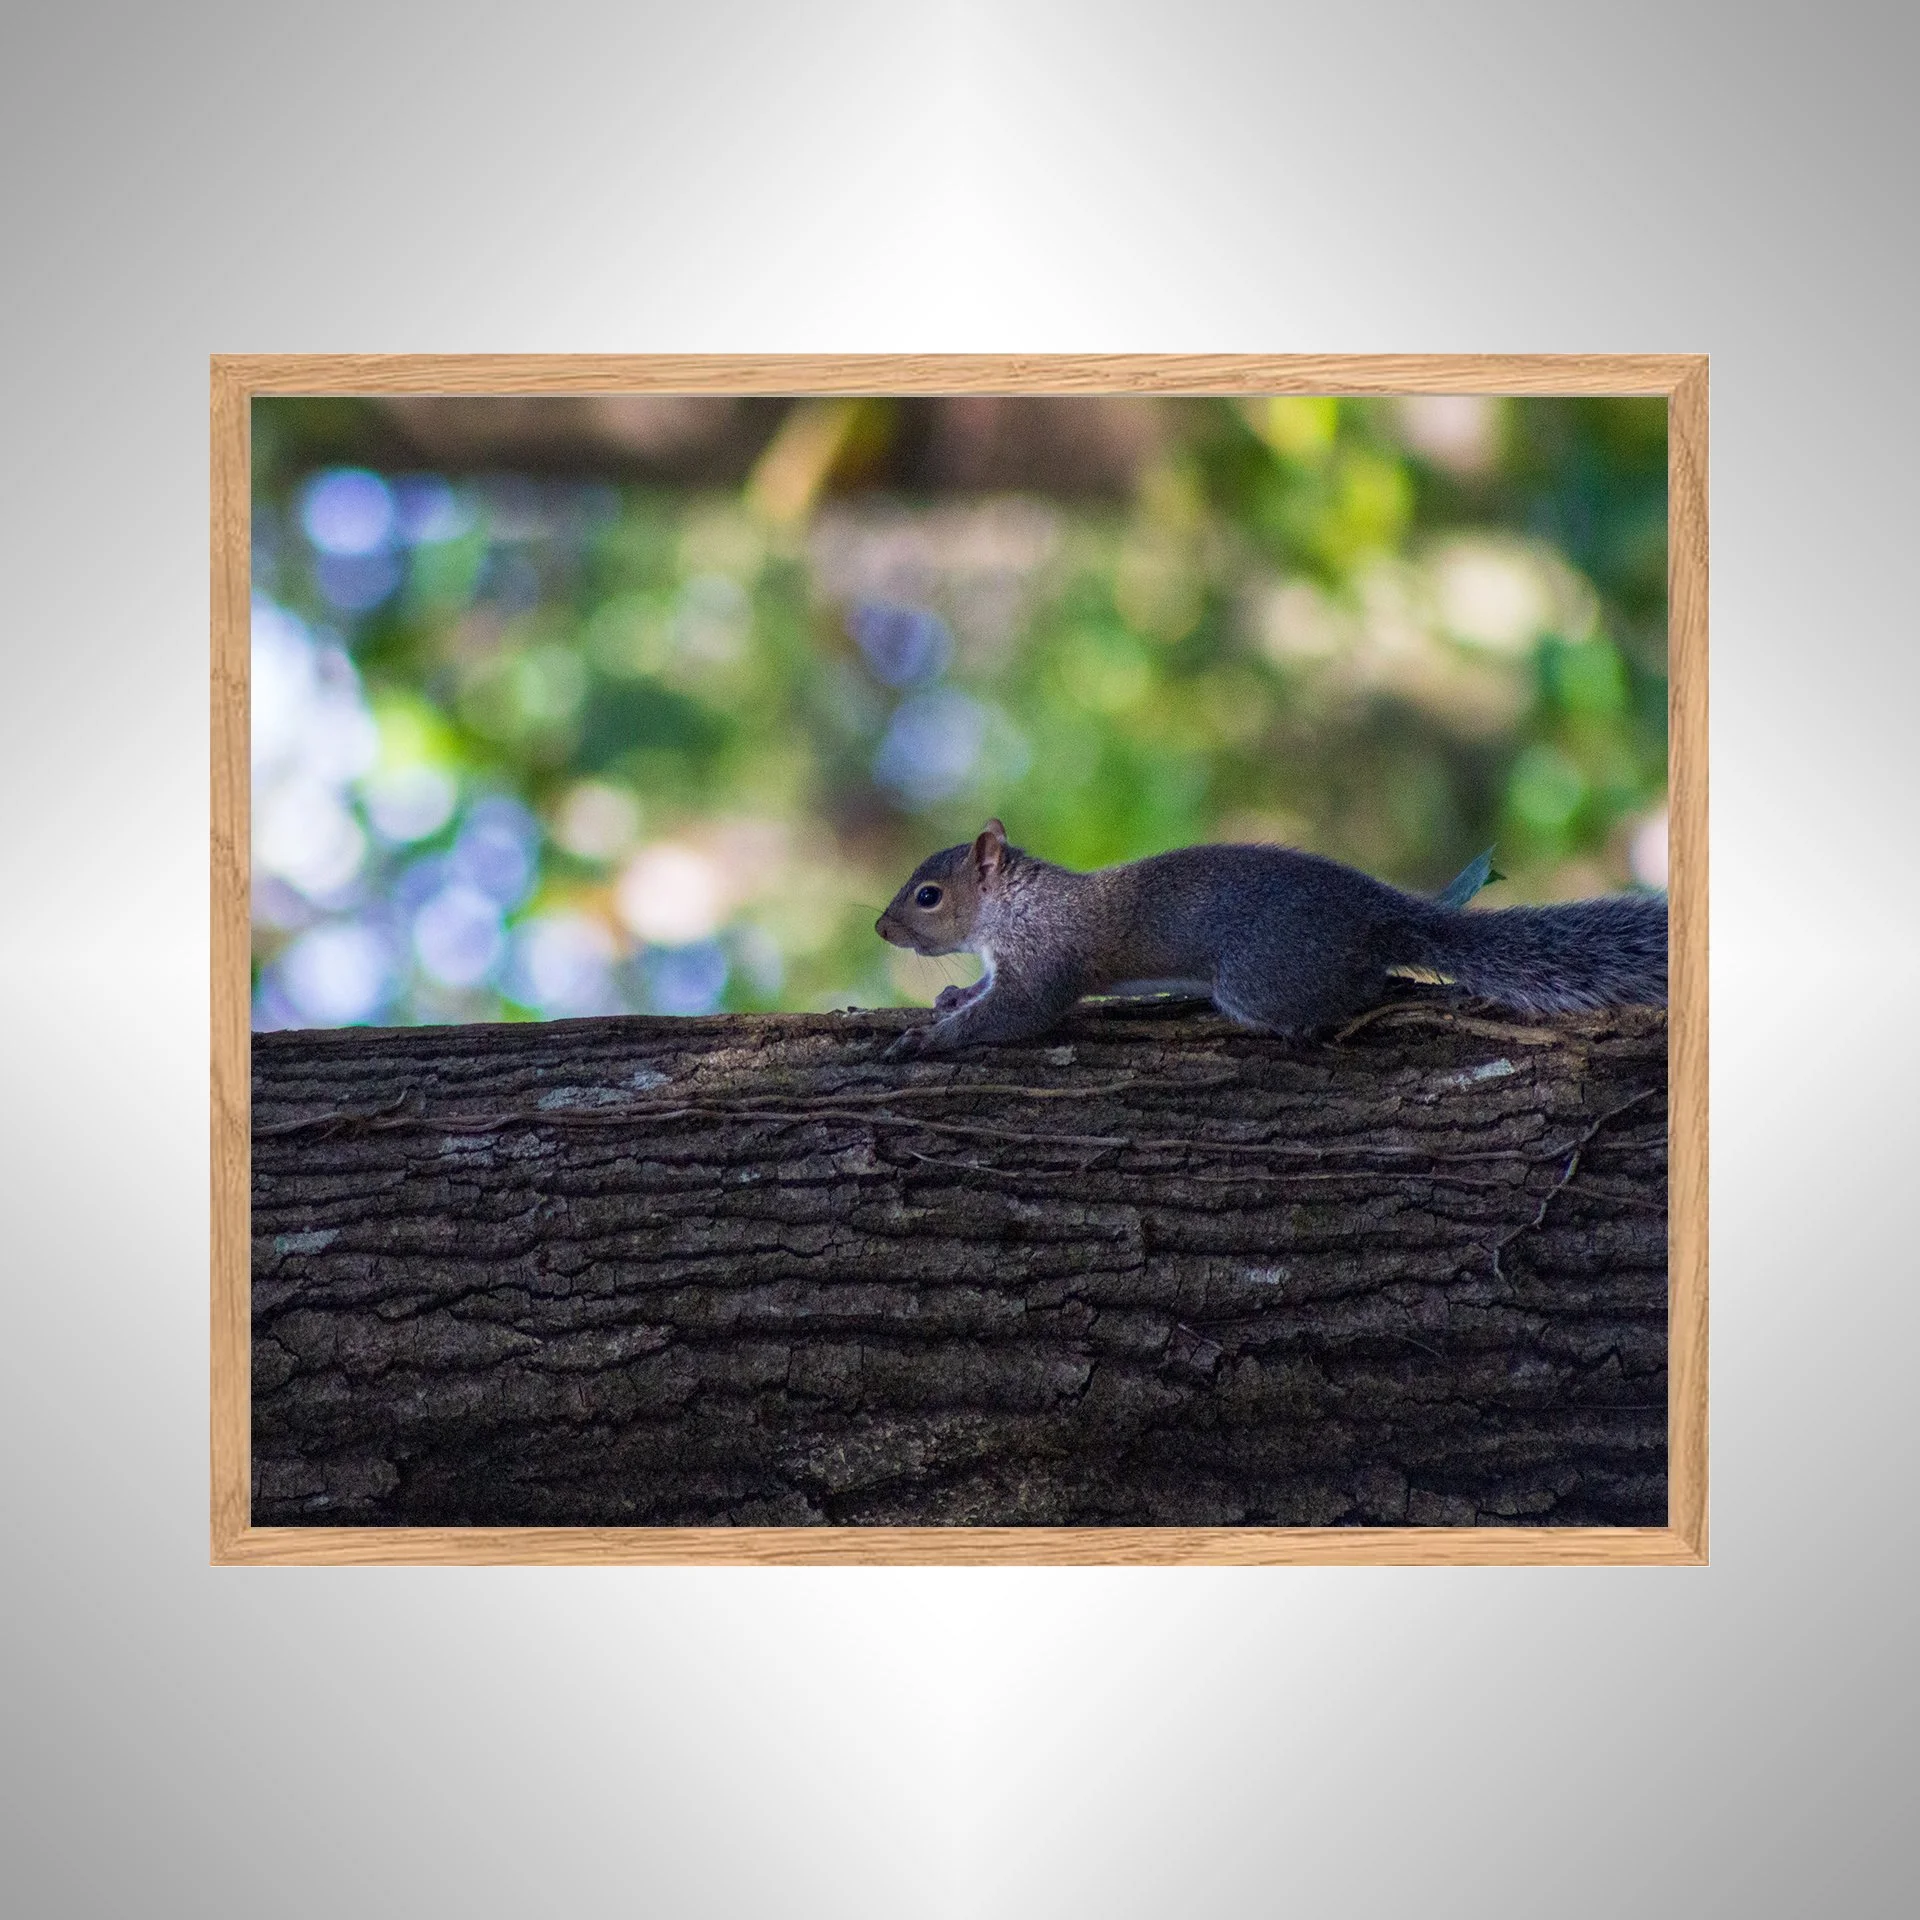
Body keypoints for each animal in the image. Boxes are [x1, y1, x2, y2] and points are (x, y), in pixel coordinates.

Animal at [876, 819, 1666, 1058]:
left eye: (928, 895)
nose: (880, 927)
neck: (1011, 908)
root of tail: (1380, 913)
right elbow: (986, 990)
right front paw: (952, 997)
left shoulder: (1044, 958)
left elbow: (1020, 1011)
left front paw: (928, 1039)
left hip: (1257, 979)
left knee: (1359, 990)